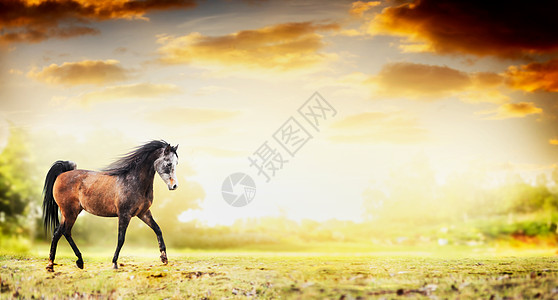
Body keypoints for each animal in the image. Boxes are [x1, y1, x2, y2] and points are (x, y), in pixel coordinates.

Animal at [41, 139, 179, 270]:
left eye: (176, 163)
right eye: (169, 163)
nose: (174, 186)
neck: (134, 182)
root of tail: (61, 175)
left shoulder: (143, 213)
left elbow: (158, 229)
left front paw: (164, 258)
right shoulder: (124, 214)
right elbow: (121, 239)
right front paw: (114, 263)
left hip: (68, 213)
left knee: (57, 233)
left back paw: (51, 265)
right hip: (70, 212)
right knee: (66, 231)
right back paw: (79, 261)